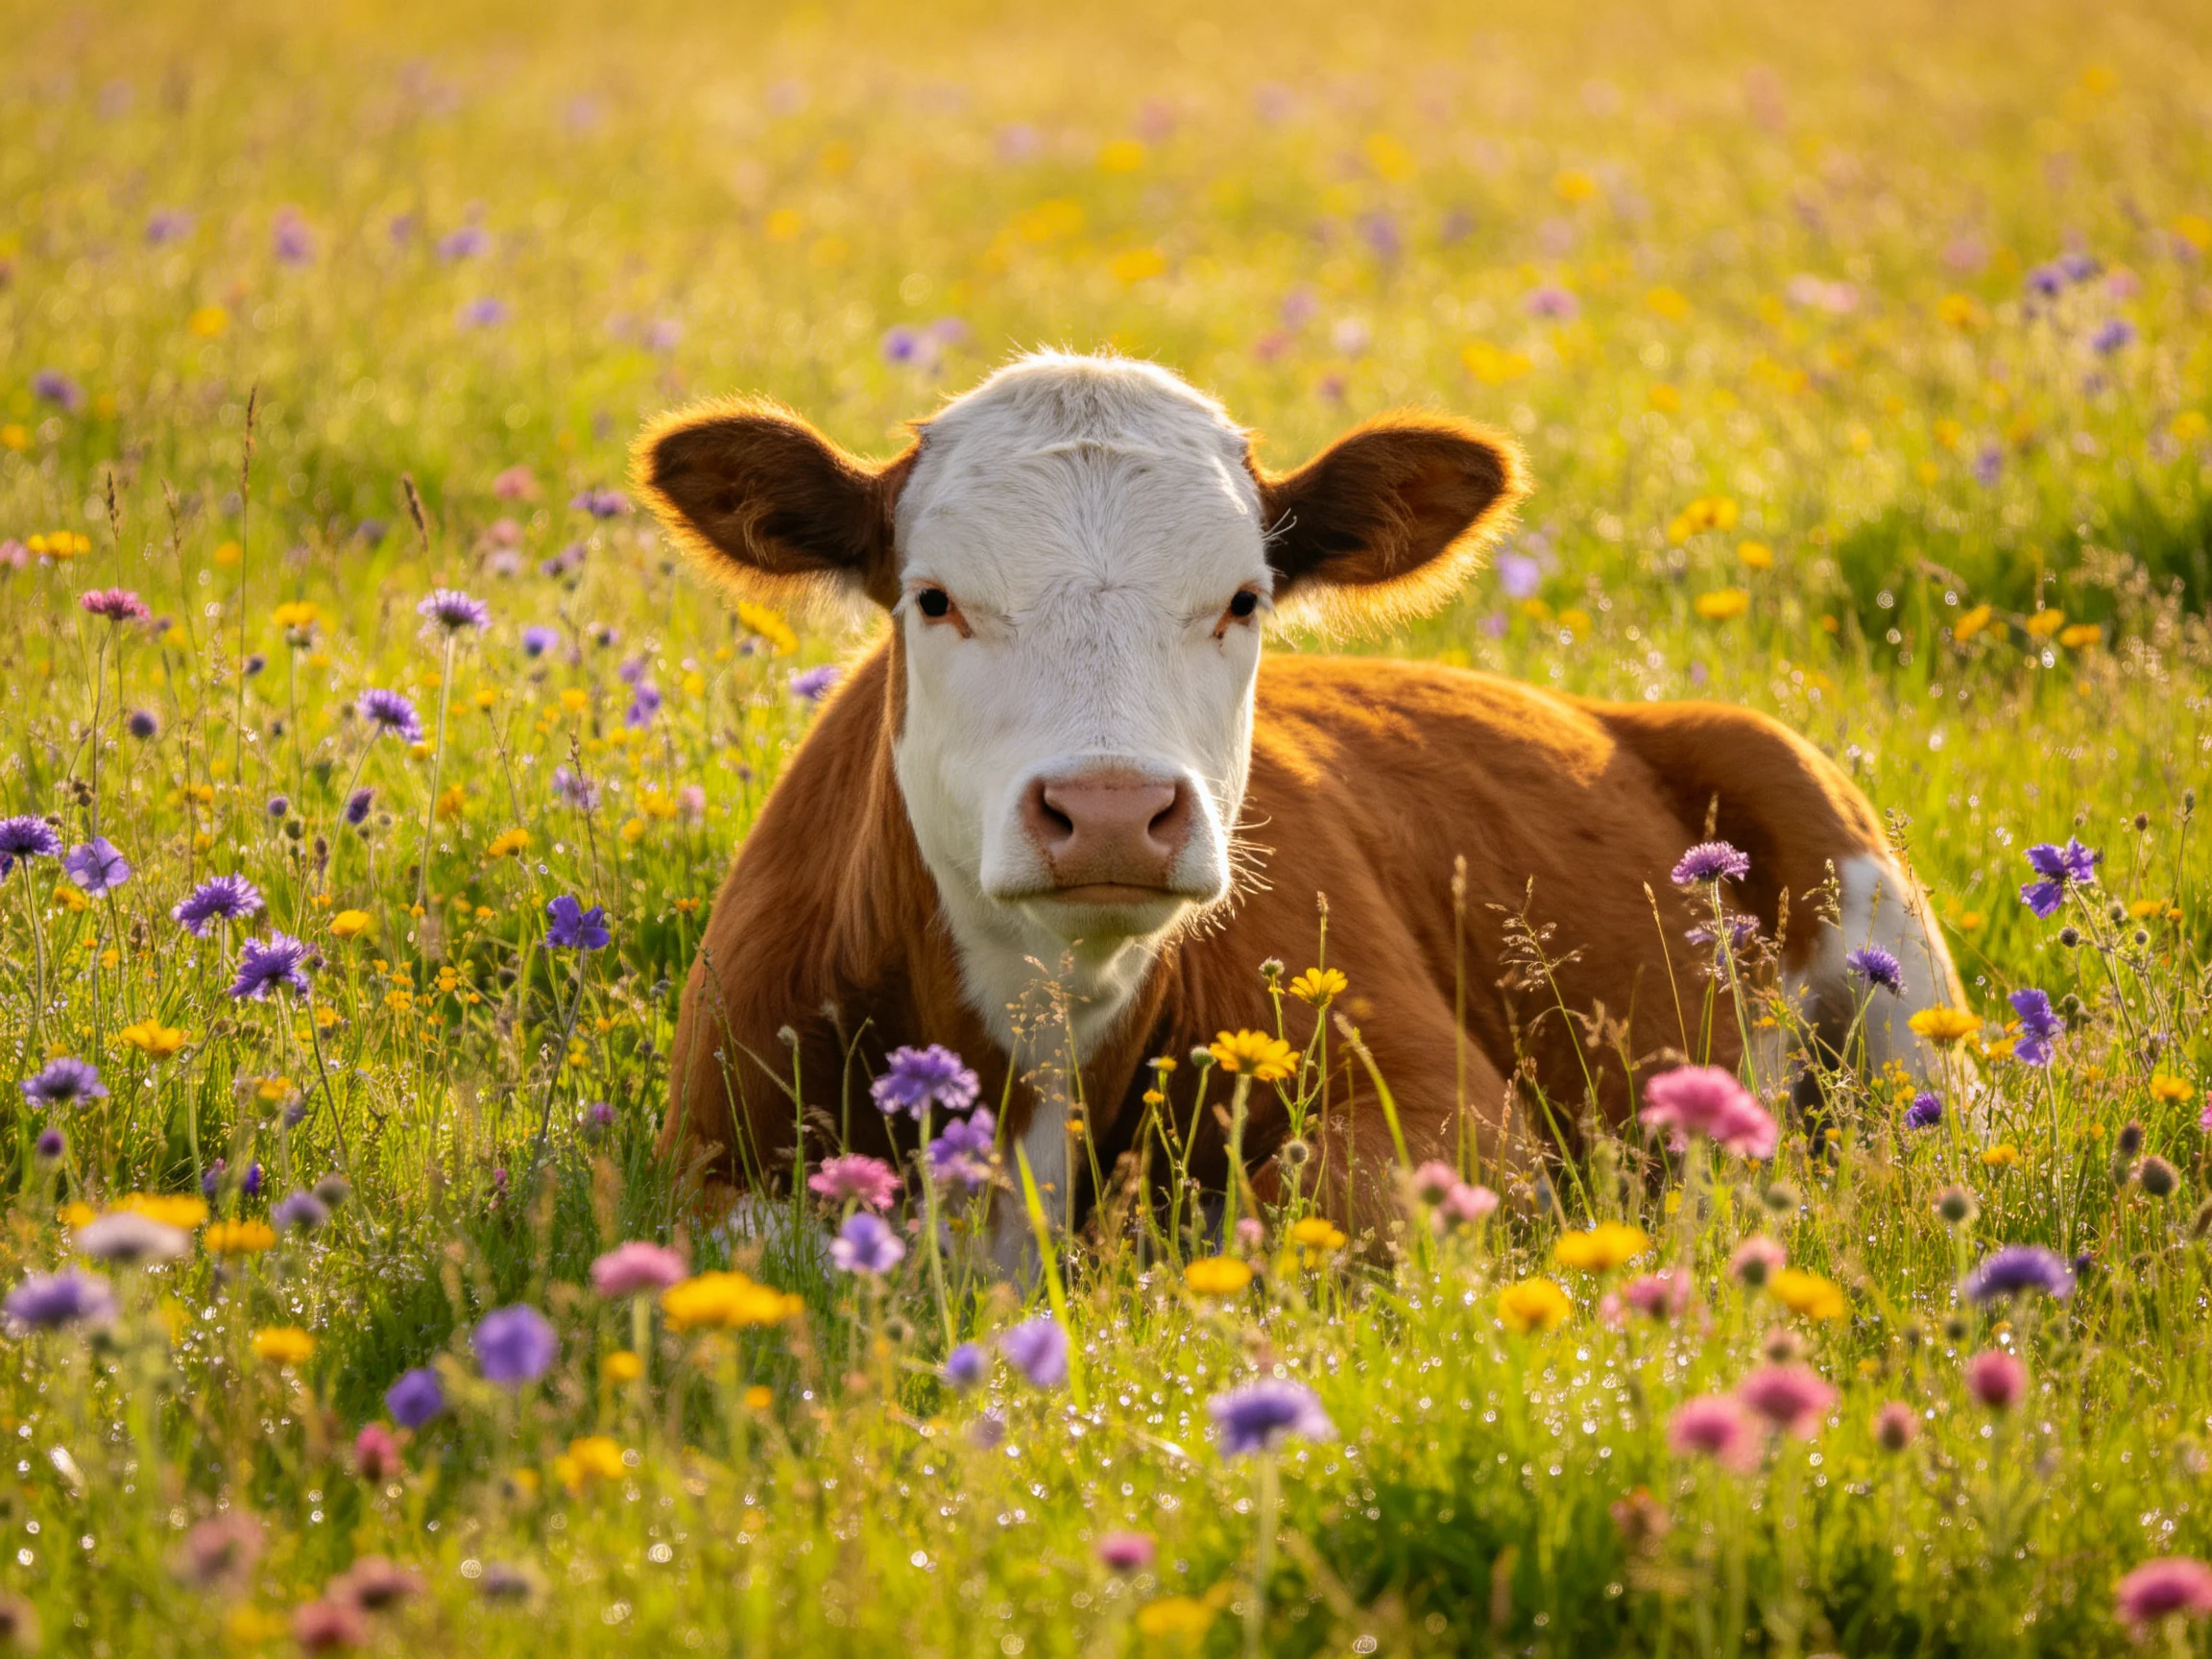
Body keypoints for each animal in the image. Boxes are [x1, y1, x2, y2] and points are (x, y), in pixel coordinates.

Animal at [633, 351, 1960, 1266]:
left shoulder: (1454, 1112)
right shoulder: (708, 1156)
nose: (1110, 810)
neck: (1040, 1040)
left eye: (1244, 599)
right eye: (934, 598)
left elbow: (1268, 1220)